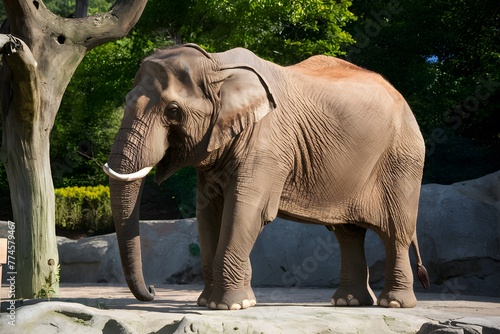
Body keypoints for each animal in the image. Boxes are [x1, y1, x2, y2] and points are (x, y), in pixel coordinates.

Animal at [104, 43, 430, 310]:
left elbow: (246, 210)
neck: (216, 65)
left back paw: (394, 304)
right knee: (347, 233)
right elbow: (208, 212)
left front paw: (230, 306)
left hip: (403, 159)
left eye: (173, 111)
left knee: (395, 232)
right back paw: (347, 302)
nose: (153, 290)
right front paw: (209, 303)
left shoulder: (267, 142)